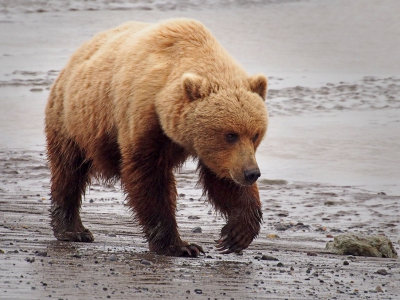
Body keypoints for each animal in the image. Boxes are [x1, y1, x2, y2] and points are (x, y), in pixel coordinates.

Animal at [44, 18, 268, 256]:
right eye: (230, 134)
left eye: (255, 134)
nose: (251, 173)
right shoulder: (144, 119)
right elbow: (150, 180)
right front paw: (180, 245)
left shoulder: (215, 153)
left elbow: (223, 179)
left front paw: (236, 234)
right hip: (73, 120)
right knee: (69, 171)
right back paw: (73, 230)